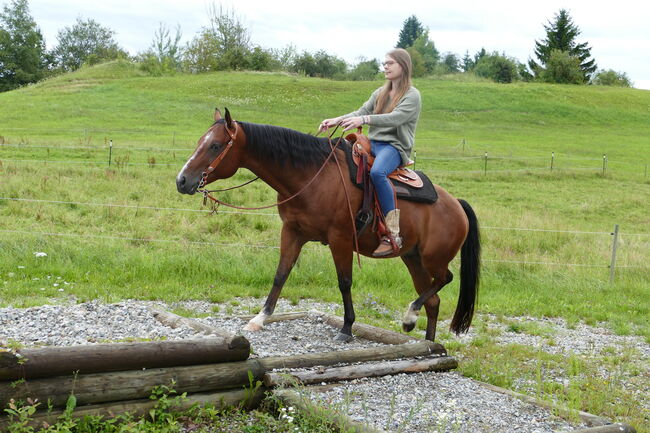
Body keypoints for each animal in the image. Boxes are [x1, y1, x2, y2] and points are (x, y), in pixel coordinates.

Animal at [175, 107, 478, 340]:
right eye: (201, 141)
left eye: (215, 146)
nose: (182, 180)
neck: (310, 177)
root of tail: (456, 204)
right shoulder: (292, 232)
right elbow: (281, 273)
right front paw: (260, 318)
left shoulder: (340, 239)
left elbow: (344, 281)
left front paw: (346, 327)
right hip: (412, 258)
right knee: (434, 300)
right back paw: (426, 342)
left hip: (433, 258)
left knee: (445, 279)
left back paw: (410, 315)